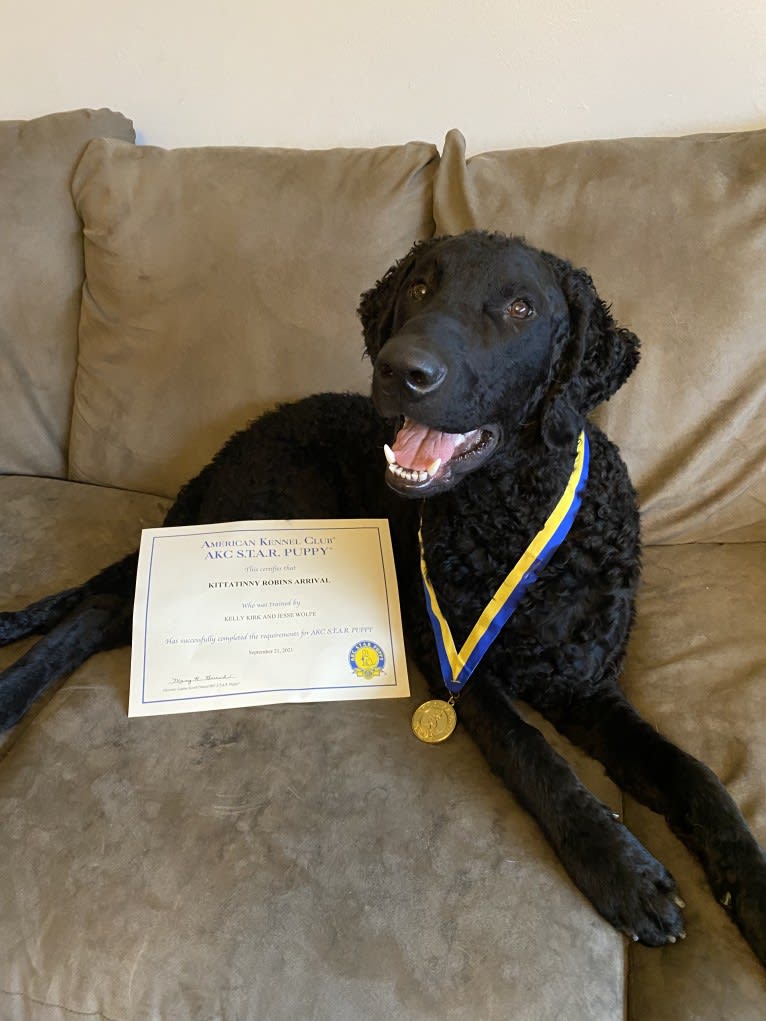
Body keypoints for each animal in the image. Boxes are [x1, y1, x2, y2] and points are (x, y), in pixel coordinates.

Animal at [1, 233, 766, 963]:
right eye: (421, 286)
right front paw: (619, 866)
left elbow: (692, 774)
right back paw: (14, 695)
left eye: (521, 307)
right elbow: (533, 755)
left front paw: (749, 882)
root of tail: (228, 447)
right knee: (107, 607)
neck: (514, 511)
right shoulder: (458, 664)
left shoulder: (587, 685)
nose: (403, 368)